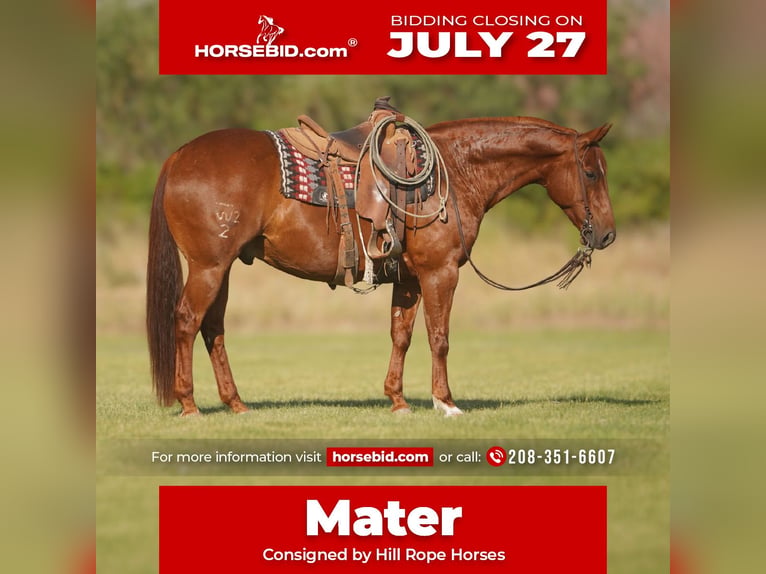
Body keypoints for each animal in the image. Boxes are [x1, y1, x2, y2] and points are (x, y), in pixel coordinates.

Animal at [146, 114, 616, 417]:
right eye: (592, 174)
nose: (607, 235)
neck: (454, 172)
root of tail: (179, 155)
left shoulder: (408, 279)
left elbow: (401, 336)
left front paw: (398, 400)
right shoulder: (440, 273)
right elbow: (439, 337)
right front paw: (446, 402)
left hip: (221, 268)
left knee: (213, 328)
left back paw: (236, 404)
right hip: (208, 266)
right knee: (187, 321)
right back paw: (189, 404)